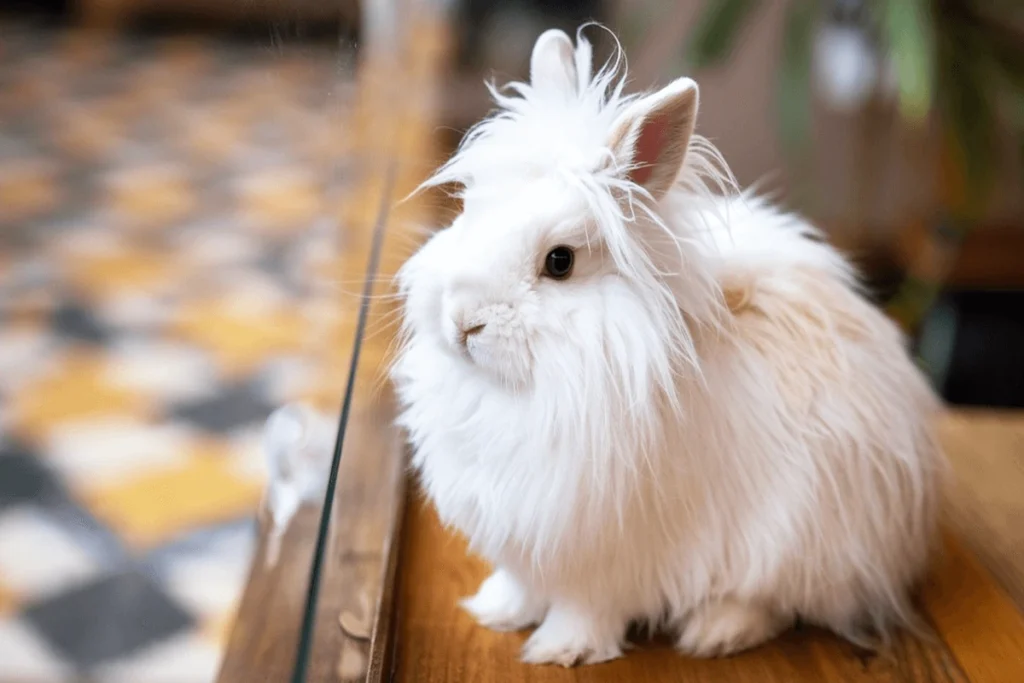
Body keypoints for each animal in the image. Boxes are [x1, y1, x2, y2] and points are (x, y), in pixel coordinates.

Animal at [389, 26, 942, 667]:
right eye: (468, 214)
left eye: (560, 261)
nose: (462, 321)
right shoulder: (524, 536)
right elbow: (523, 583)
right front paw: (498, 612)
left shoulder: (605, 551)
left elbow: (585, 604)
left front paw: (562, 648)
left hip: (807, 538)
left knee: (776, 600)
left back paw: (716, 631)